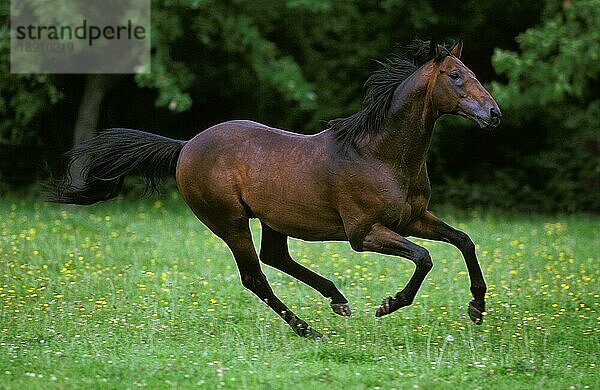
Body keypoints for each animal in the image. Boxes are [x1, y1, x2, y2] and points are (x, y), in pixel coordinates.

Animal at [50, 38, 502, 338]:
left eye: (475, 74)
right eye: (456, 77)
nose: (494, 114)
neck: (380, 155)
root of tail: (185, 146)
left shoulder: (413, 218)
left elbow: (464, 241)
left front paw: (477, 308)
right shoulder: (363, 234)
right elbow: (424, 258)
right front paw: (388, 305)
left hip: (272, 218)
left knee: (275, 257)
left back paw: (337, 300)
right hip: (230, 221)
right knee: (255, 276)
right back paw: (308, 329)